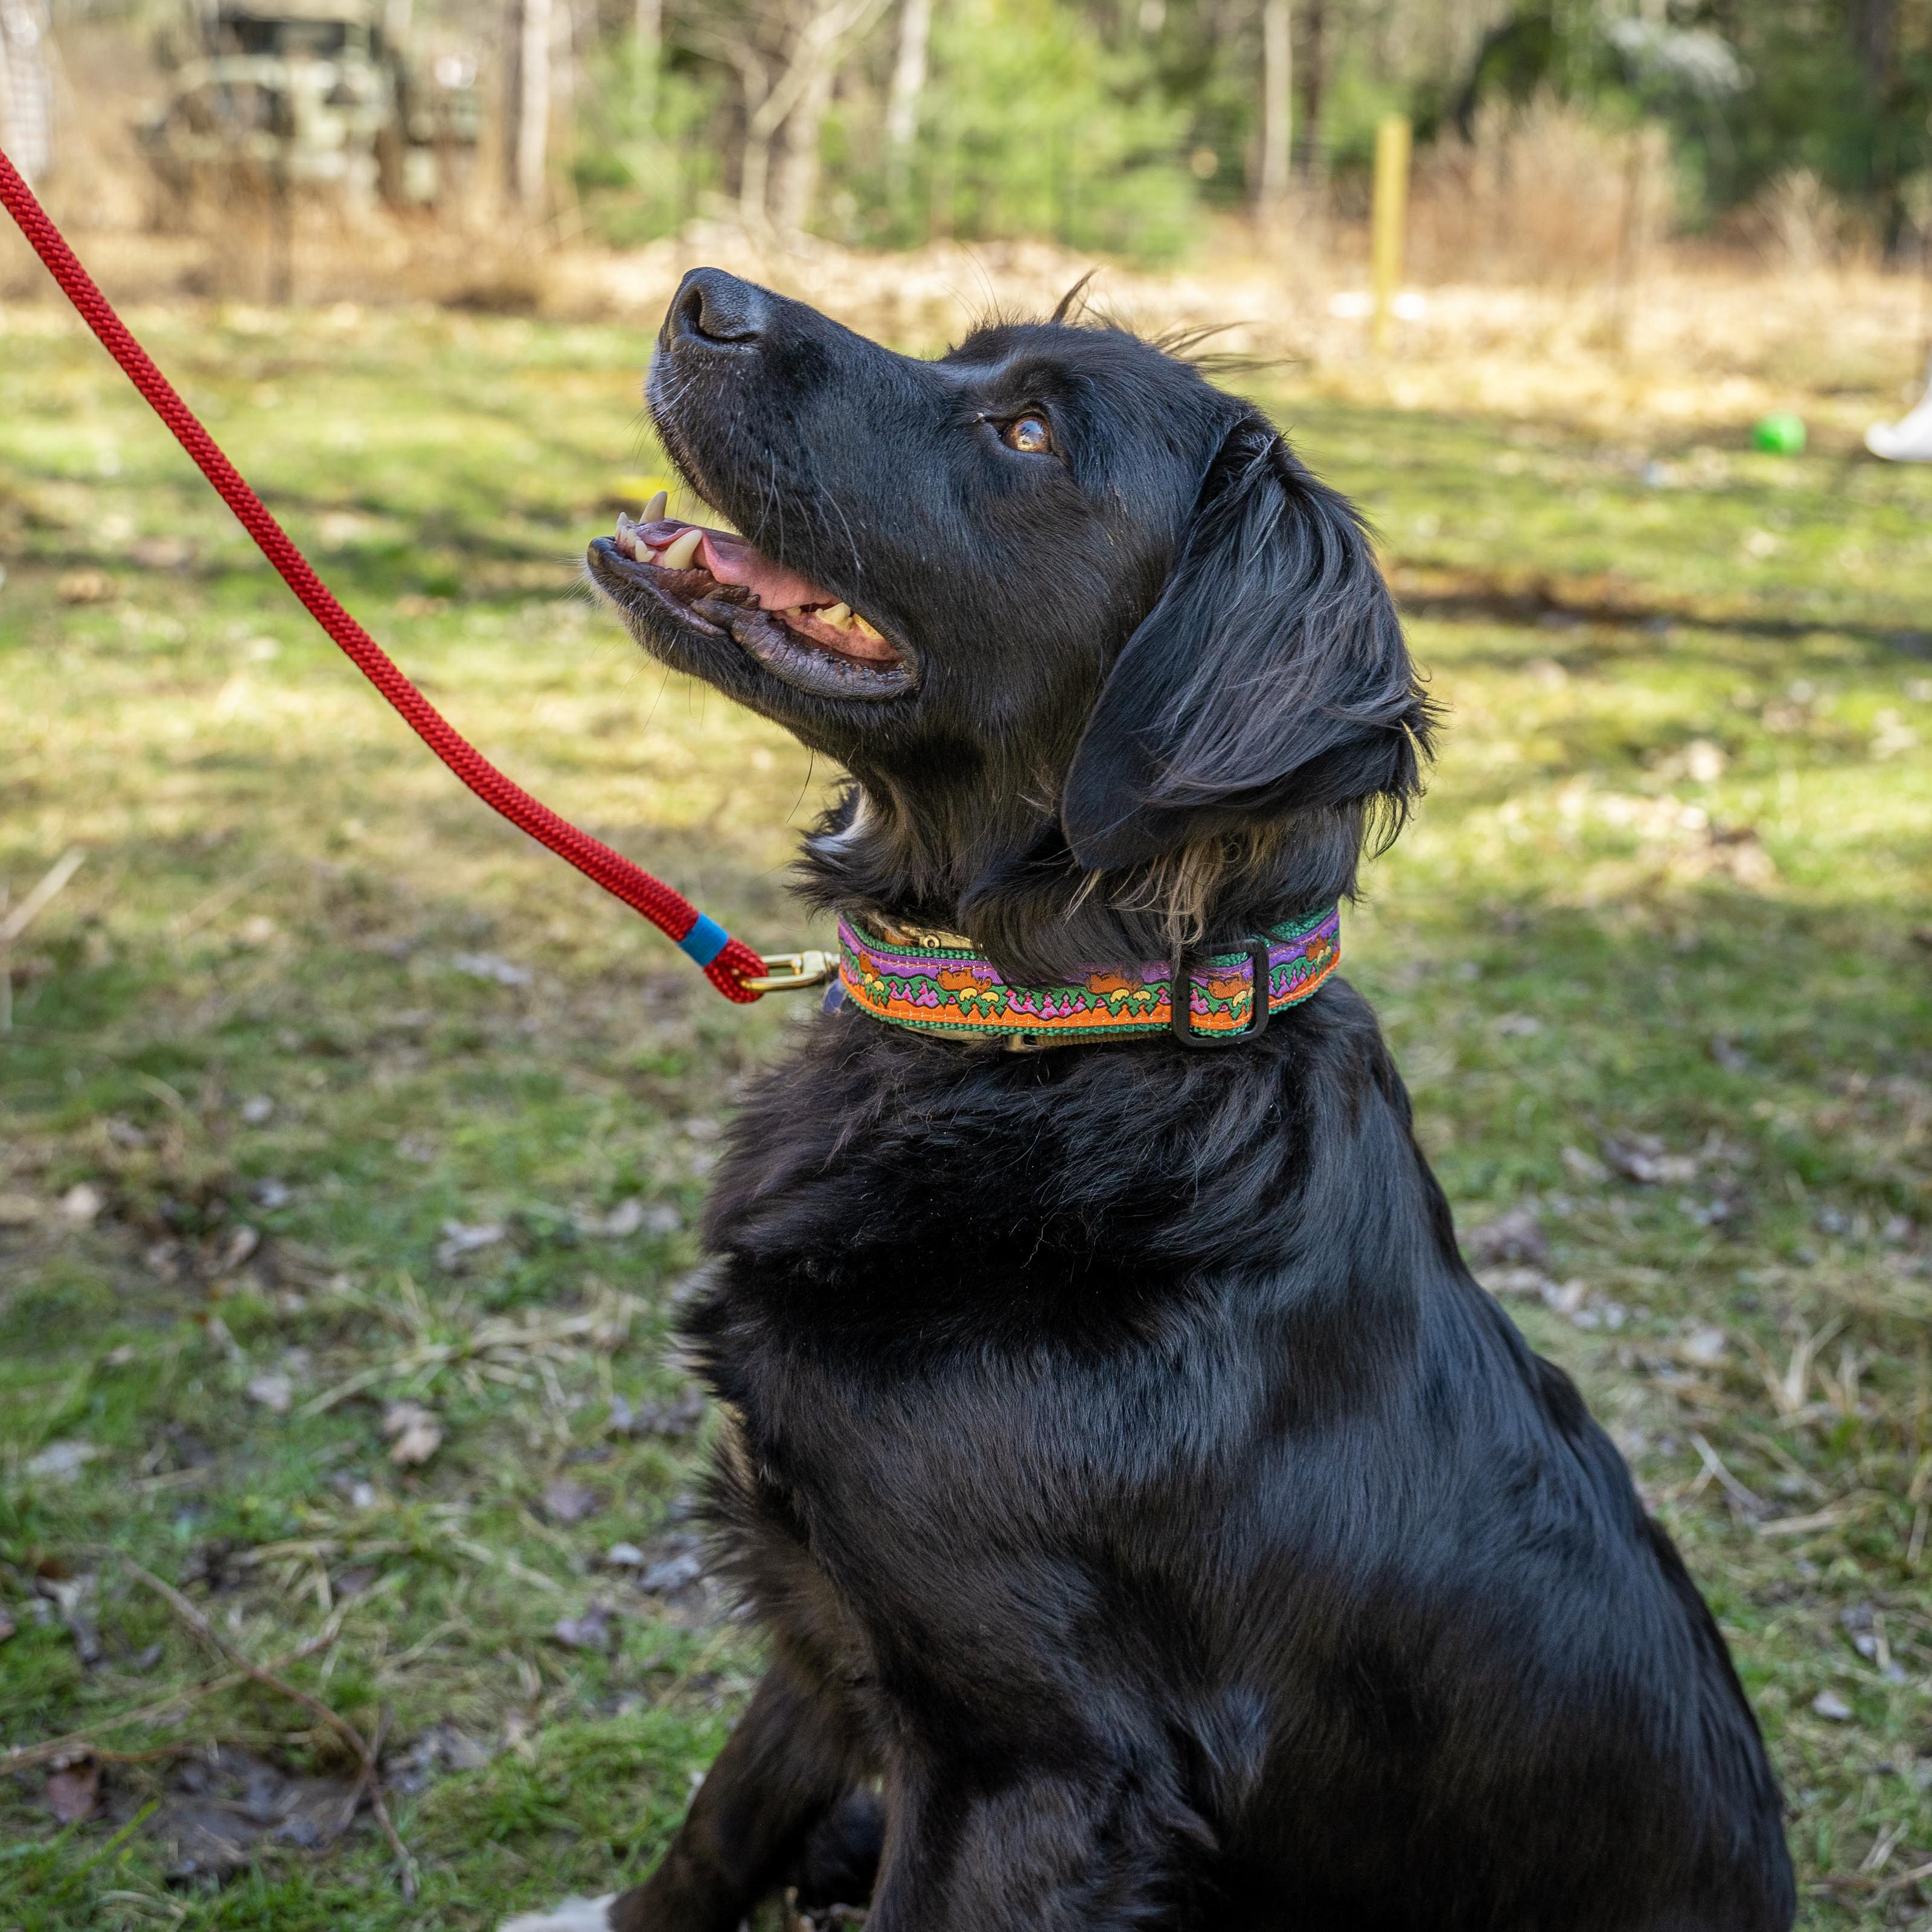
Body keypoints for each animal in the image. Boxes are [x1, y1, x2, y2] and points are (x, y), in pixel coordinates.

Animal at [548, 272, 1793, 1932]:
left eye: (1026, 434)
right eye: (969, 360)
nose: (701, 294)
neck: (1065, 1035)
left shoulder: (1029, 1762)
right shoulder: (830, 1617)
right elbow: (714, 1828)